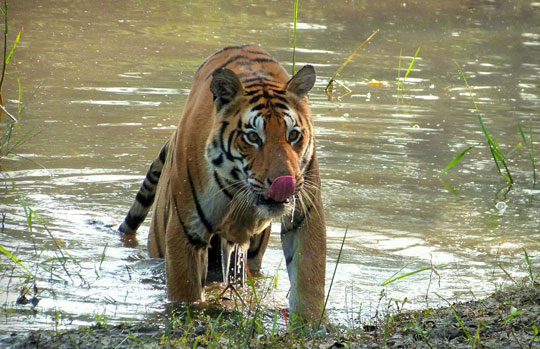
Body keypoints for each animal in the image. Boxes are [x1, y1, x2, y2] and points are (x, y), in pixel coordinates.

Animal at [118, 44, 326, 322]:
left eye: (293, 135)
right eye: (252, 137)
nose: (286, 183)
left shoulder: (305, 215)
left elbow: (309, 276)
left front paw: (312, 323)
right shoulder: (185, 229)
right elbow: (185, 290)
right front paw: (188, 315)